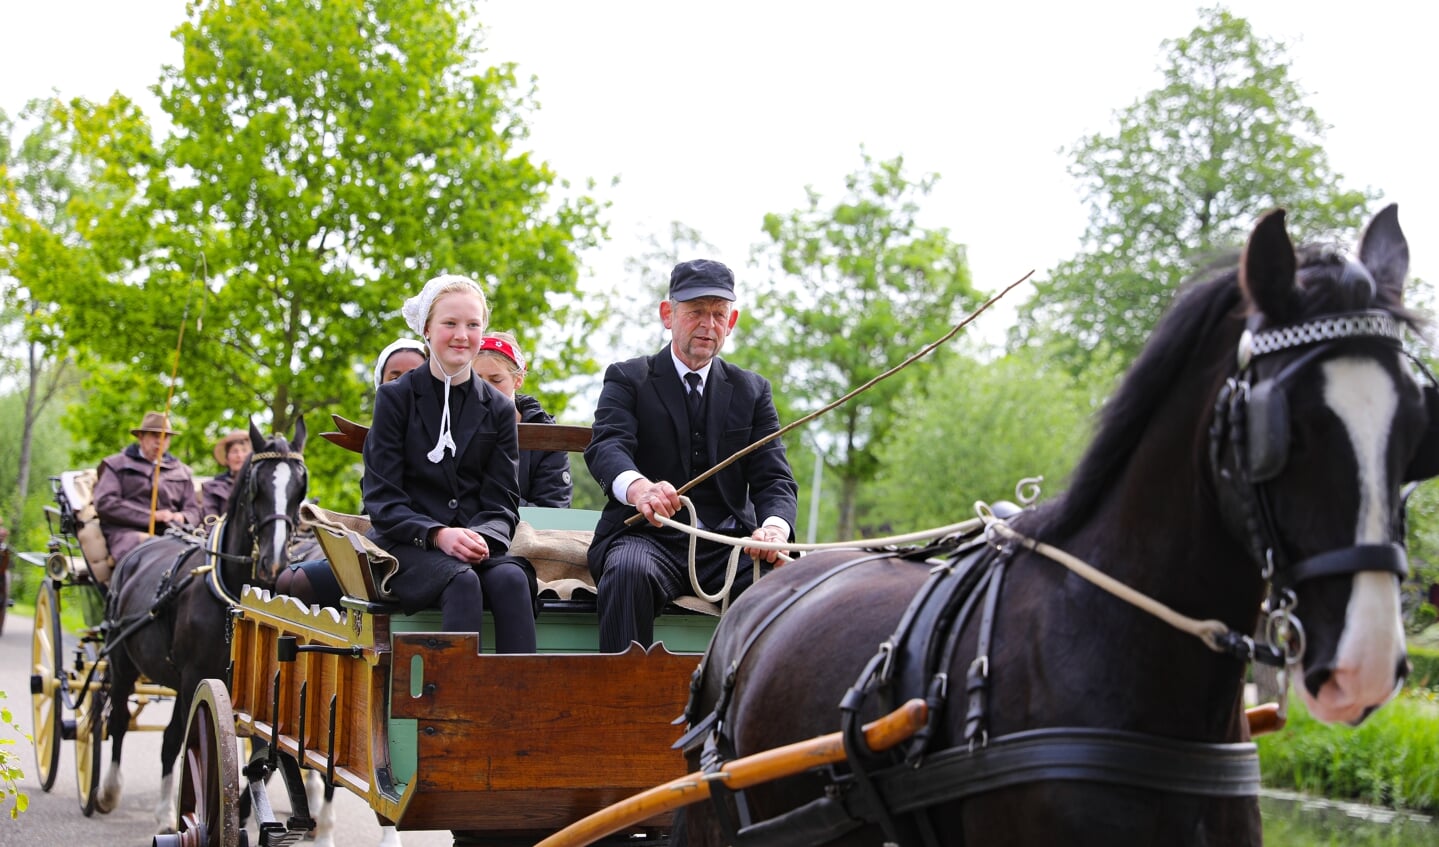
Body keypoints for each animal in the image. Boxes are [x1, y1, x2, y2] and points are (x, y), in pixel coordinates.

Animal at [97, 419, 309, 828]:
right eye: (256, 486)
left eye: (300, 488)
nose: (274, 563)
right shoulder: (194, 676)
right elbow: (189, 742)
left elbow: (262, 758)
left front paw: (242, 816)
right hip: (123, 661)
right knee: (119, 721)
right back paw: (110, 792)